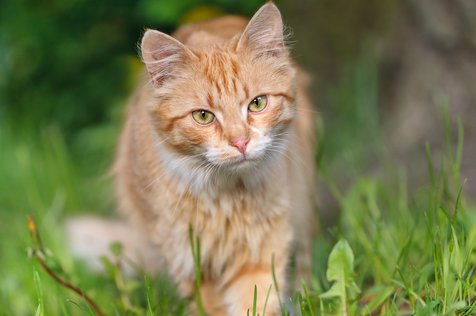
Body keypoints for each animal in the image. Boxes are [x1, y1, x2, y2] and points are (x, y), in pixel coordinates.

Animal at [67, 3, 318, 316]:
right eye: (203, 116)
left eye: (257, 103)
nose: (240, 142)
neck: (227, 198)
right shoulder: (192, 261)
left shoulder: (260, 250)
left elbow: (256, 300)